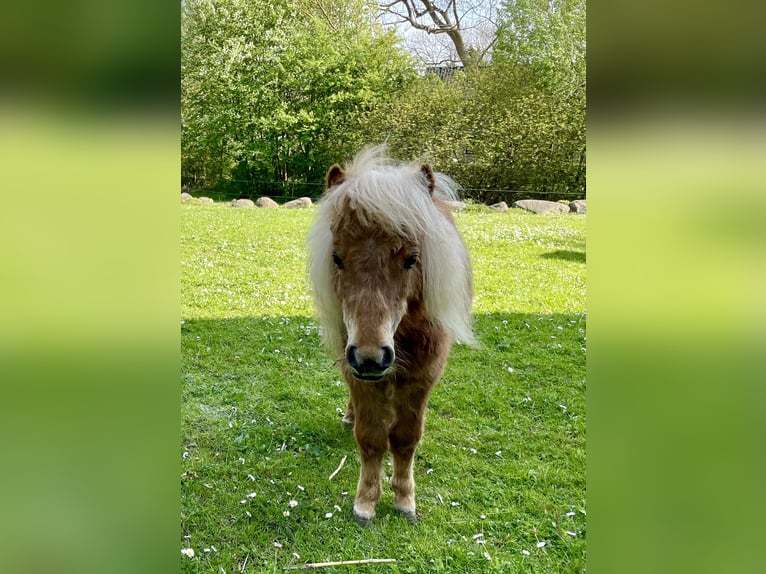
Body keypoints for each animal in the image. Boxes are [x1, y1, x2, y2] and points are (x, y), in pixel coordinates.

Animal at [308, 145, 476, 528]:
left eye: (412, 259)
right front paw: (366, 503)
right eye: (337, 258)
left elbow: (404, 438)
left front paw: (404, 500)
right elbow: (371, 438)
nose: (371, 357)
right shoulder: (358, 374)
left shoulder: (422, 379)